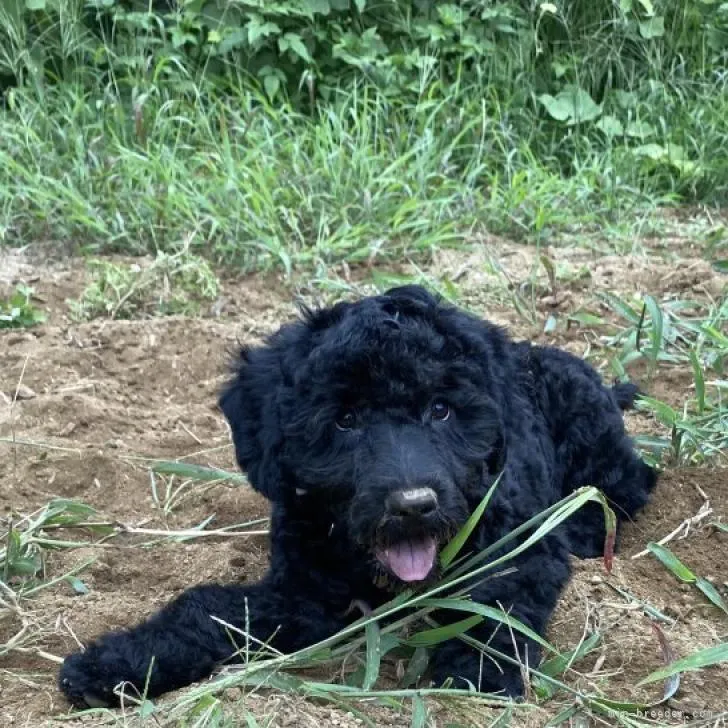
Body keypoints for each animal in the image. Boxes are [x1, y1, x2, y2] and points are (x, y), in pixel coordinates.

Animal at [59, 284, 656, 704]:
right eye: (344, 420)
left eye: (441, 410)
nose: (414, 506)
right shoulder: (302, 593)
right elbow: (208, 610)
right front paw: (116, 663)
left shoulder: (523, 552)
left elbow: (493, 609)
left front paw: (475, 674)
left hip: (596, 441)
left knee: (628, 484)